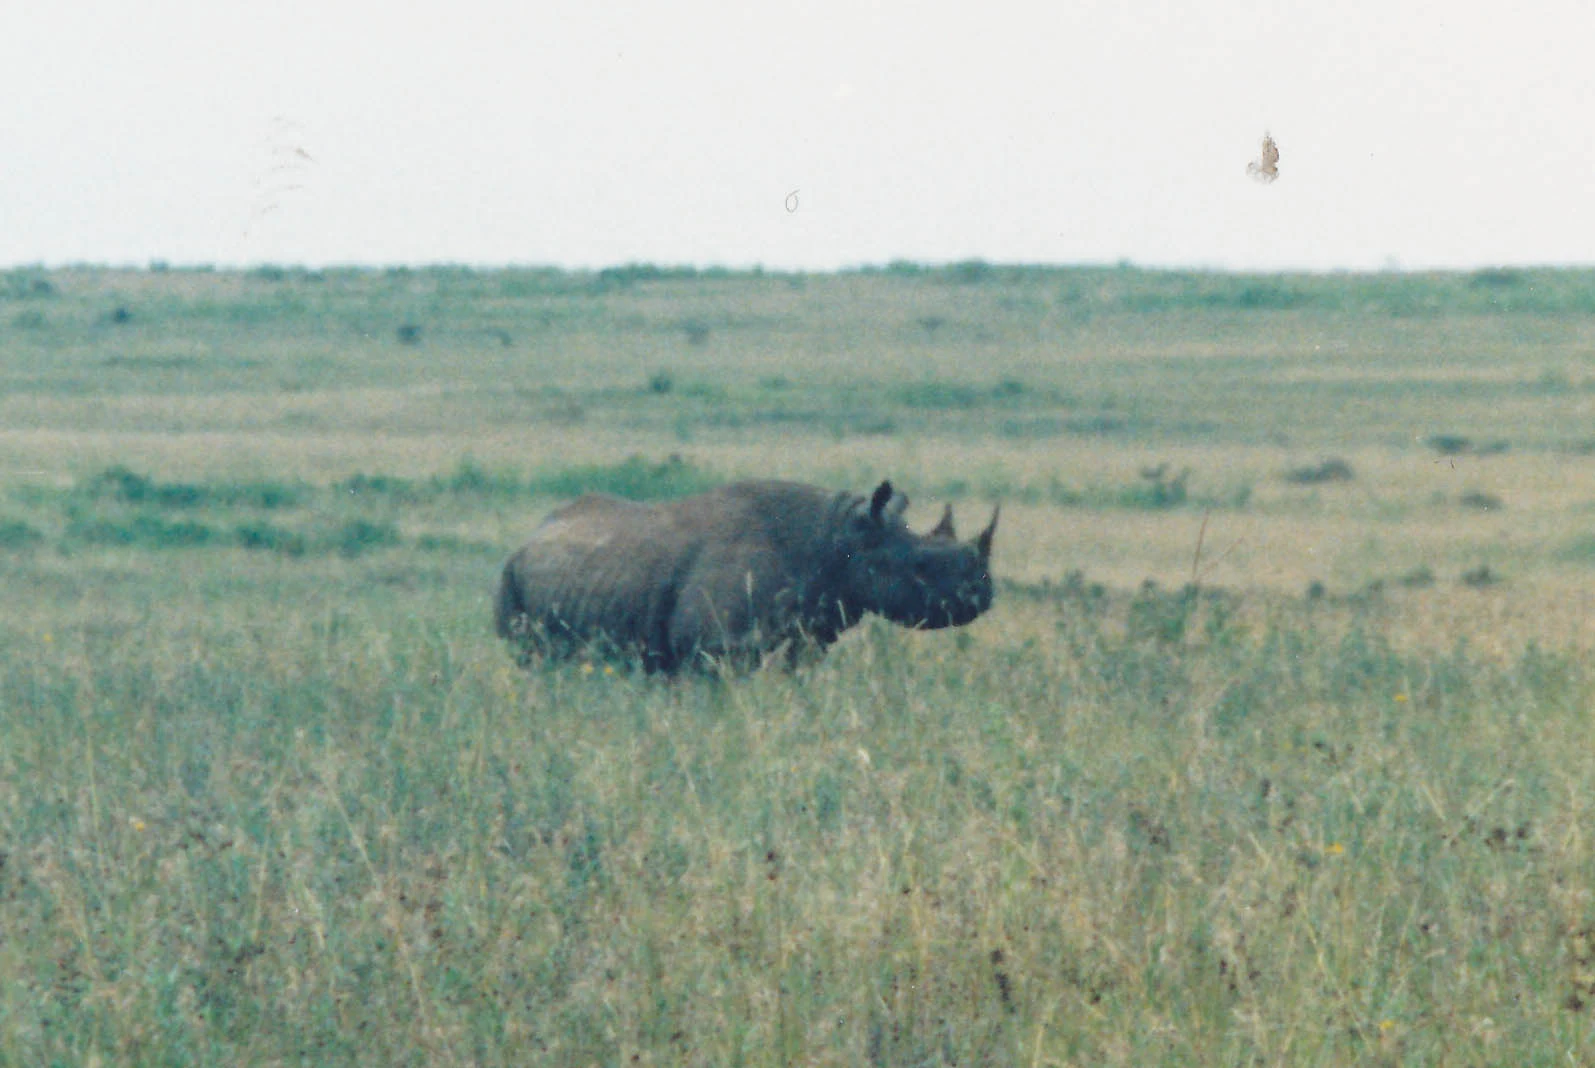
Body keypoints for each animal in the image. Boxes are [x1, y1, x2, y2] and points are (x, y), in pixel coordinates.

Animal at [494, 479, 998, 673]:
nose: (983, 594)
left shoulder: (803, 640)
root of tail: (533, 534)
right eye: (920, 568)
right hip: (510, 574)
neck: (836, 541)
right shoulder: (712, 649)